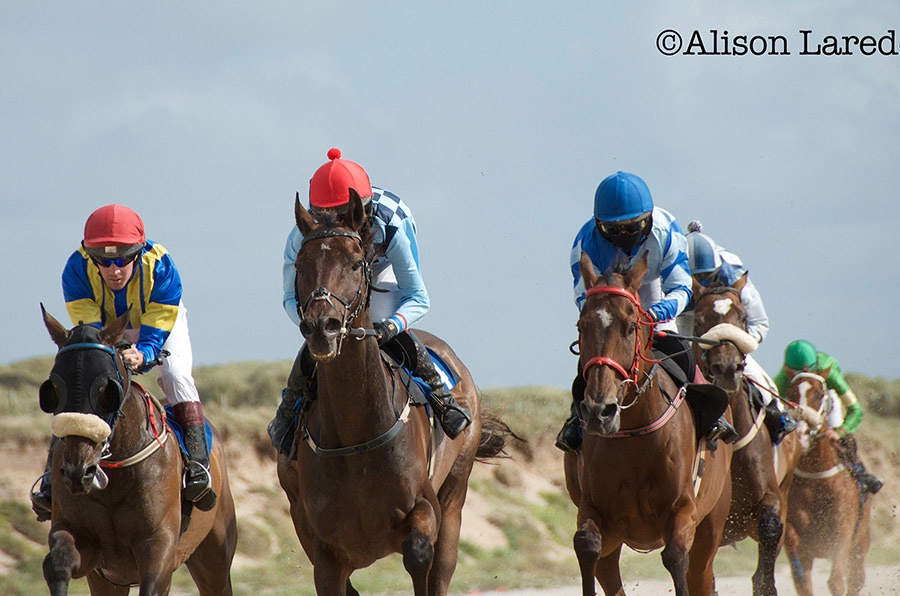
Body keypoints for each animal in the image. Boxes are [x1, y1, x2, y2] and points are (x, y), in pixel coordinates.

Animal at [37, 308, 237, 596]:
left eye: (107, 388)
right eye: (53, 387)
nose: (78, 471)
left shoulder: (159, 547)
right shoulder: (87, 548)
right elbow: (58, 563)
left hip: (214, 554)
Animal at [274, 193, 512, 592]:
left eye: (356, 263)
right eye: (301, 265)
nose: (322, 328)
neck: (355, 435)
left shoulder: (425, 511)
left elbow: (419, 555)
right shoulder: (323, 551)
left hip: (455, 492)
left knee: (442, 568)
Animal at [568, 251, 736, 596]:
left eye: (631, 326)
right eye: (582, 324)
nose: (599, 411)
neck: (635, 436)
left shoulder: (683, 512)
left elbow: (675, 557)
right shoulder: (595, 510)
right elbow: (586, 544)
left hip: (711, 525)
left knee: (699, 573)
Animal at [784, 372, 868, 596]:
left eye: (819, 394)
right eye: (790, 393)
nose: (801, 433)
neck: (815, 479)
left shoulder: (842, 535)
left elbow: (836, 582)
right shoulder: (802, 545)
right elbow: (802, 580)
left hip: (859, 548)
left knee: (856, 581)